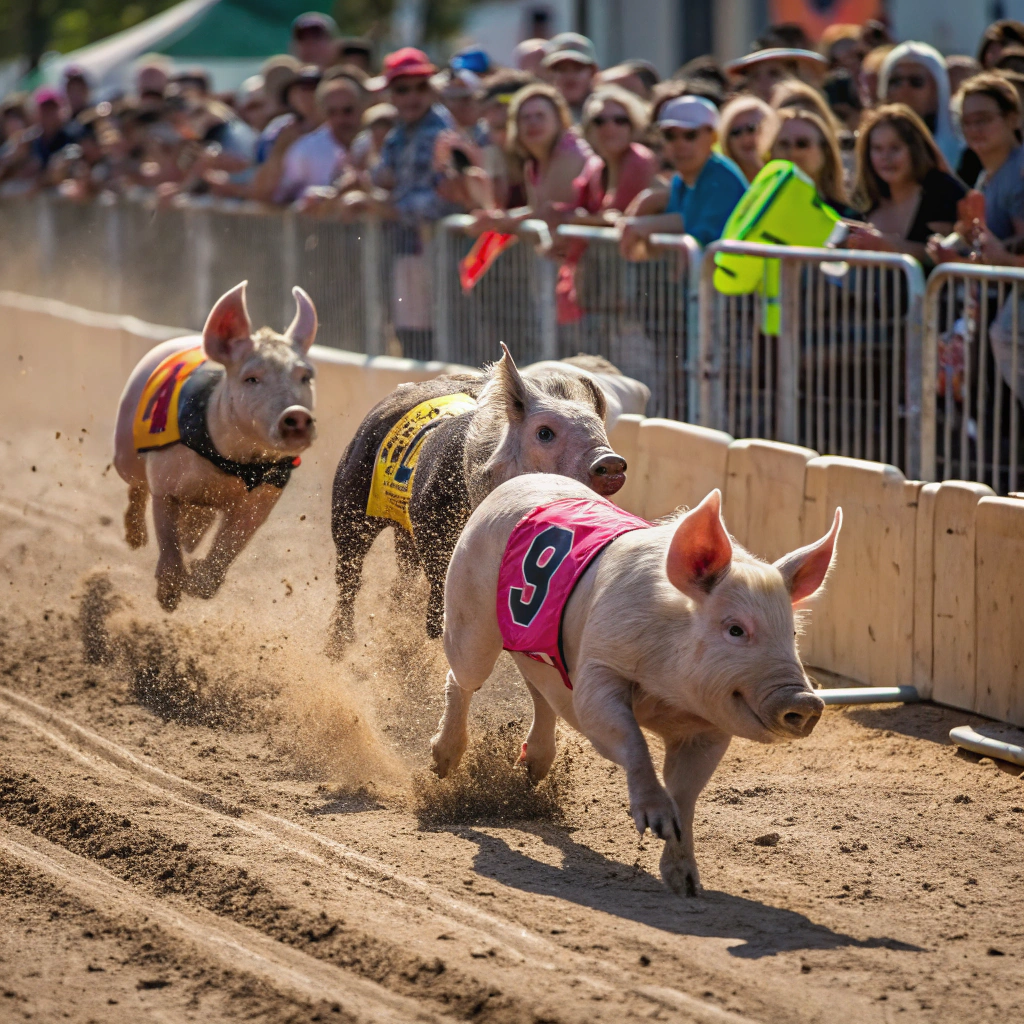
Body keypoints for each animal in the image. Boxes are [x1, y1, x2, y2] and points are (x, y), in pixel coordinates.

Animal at [113, 281, 317, 612]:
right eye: (251, 378)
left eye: (305, 376)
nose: (297, 413)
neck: (232, 463)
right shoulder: (165, 481)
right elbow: (166, 534)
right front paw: (169, 600)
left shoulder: (265, 495)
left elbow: (230, 545)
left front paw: (197, 584)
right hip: (124, 450)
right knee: (136, 485)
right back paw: (136, 541)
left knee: (197, 524)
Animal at [327, 345, 627, 657]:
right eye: (545, 432)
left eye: (599, 428)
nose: (610, 461)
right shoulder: (435, 535)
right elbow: (440, 600)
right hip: (350, 501)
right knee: (349, 574)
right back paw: (338, 648)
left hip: (403, 531)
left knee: (402, 577)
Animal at [432, 474, 841, 896]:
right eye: (735, 629)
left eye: (793, 633)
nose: (806, 700)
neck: (669, 692)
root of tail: (519, 479)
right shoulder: (598, 666)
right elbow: (625, 733)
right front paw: (655, 822)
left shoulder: (709, 728)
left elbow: (686, 793)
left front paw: (686, 884)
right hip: (469, 611)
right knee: (462, 677)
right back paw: (442, 766)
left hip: (538, 651)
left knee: (538, 691)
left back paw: (532, 772)